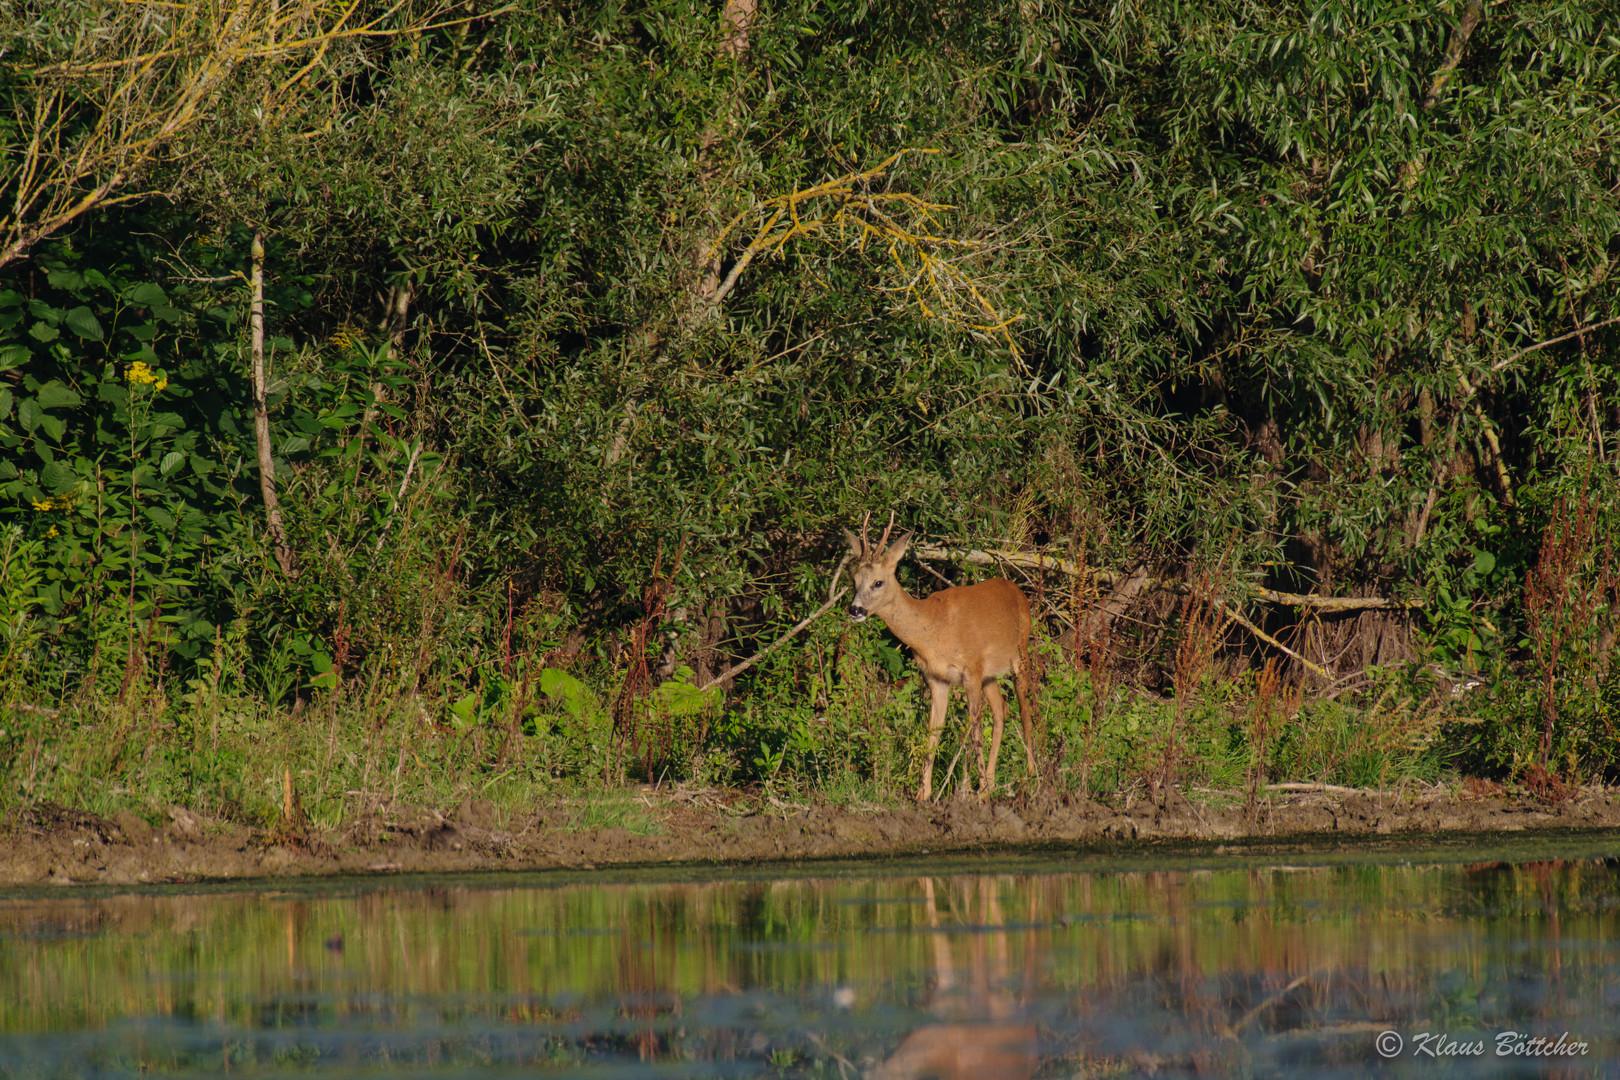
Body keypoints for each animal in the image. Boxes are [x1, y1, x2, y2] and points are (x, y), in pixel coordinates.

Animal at [842, 514, 1030, 803]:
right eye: (854, 581)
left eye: (878, 582)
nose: (855, 610)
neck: (933, 629)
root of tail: (1016, 590)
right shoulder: (936, 678)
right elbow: (933, 731)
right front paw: (924, 793)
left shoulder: (971, 671)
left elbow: (975, 730)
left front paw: (971, 791)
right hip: (990, 675)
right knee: (1001, 710)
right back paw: (991, 782)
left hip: (1021, 653)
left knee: (1025, 709)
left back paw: (1031, 775)